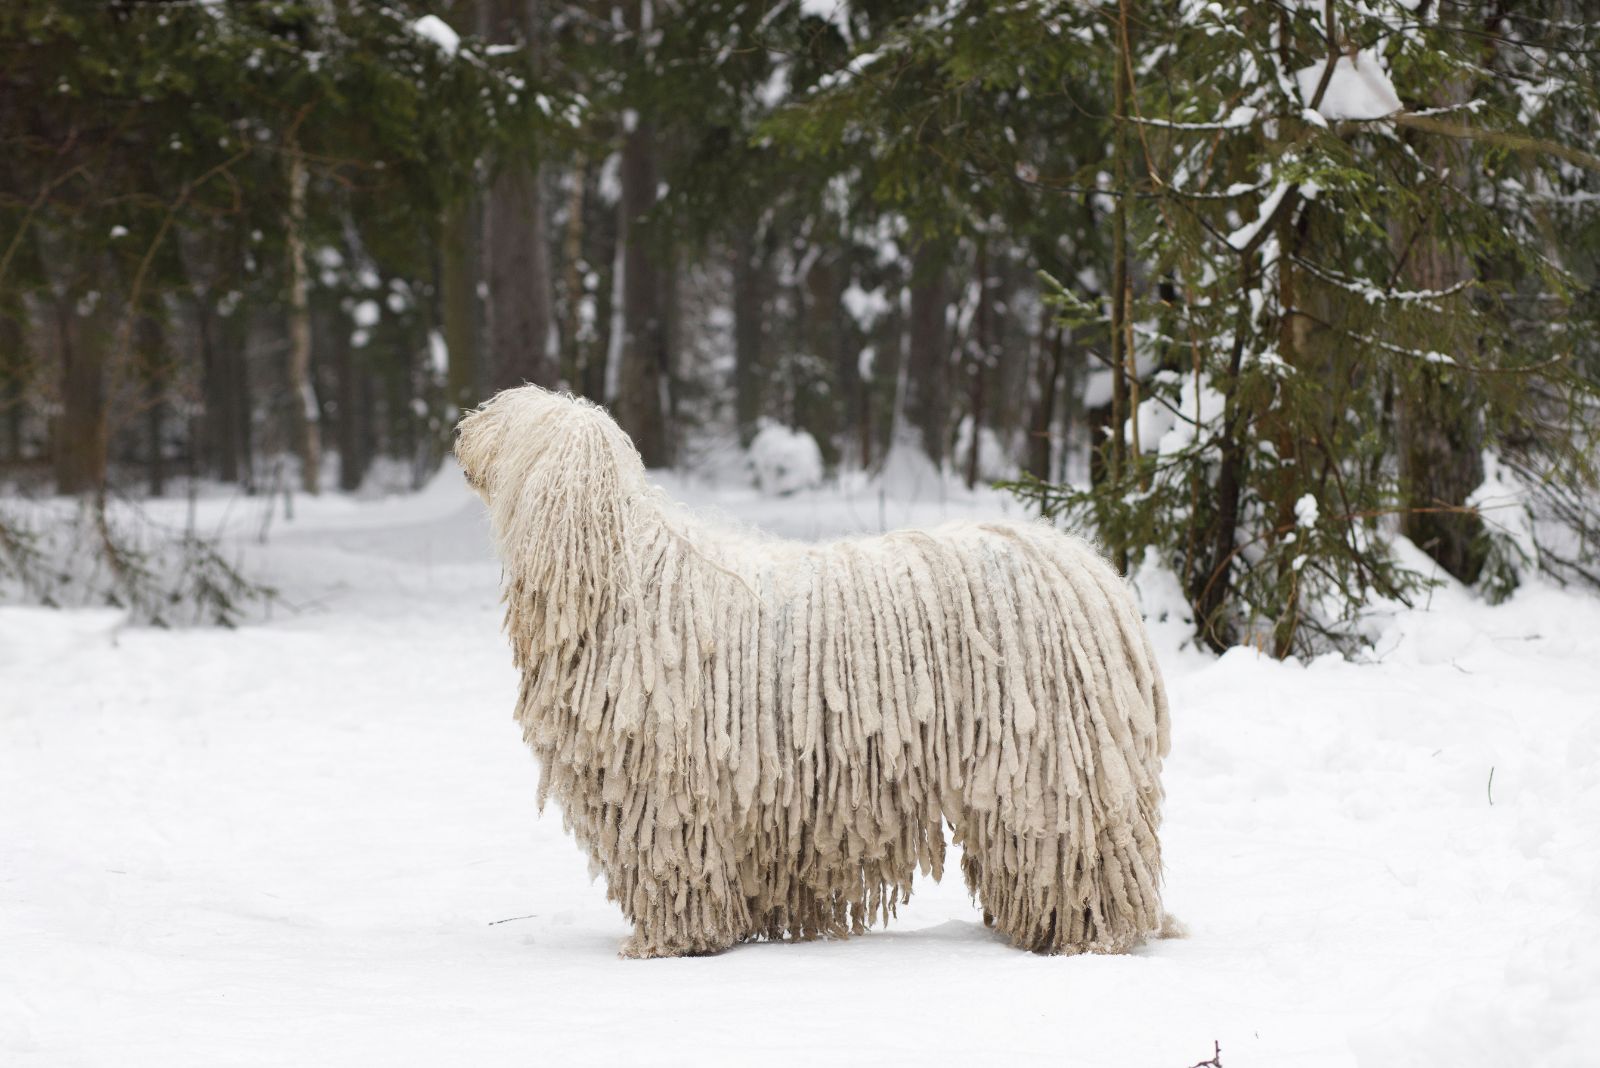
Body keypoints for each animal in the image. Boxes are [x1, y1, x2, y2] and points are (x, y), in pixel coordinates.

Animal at [457, 385, 1171, 959]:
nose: (462, 434)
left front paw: (669, 943)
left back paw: (1086, 936)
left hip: (1051, 760)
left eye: (507, 421)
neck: (619, 575)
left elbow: (673, 868)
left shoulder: (666, 788)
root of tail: (1096, 577)